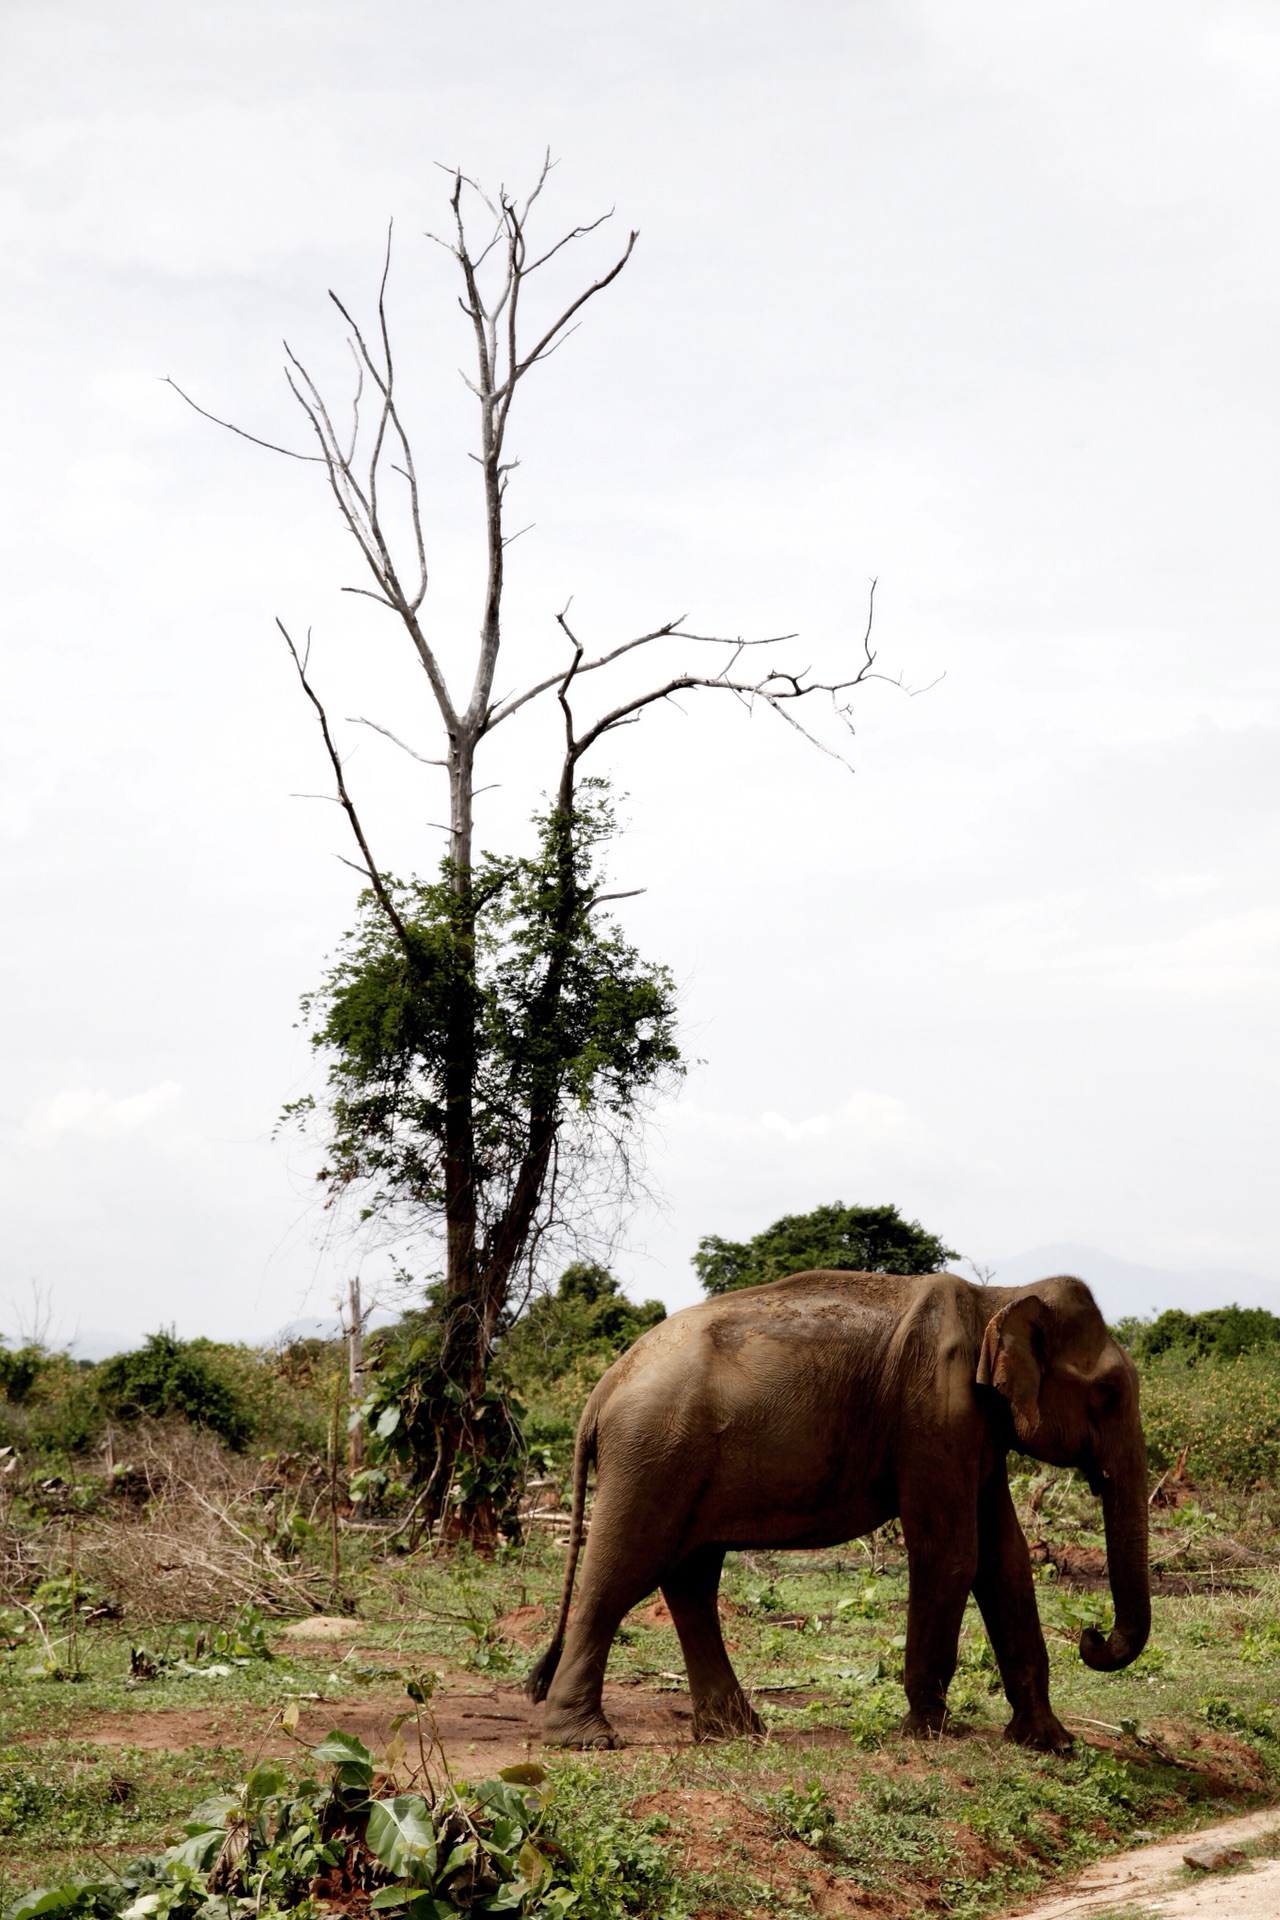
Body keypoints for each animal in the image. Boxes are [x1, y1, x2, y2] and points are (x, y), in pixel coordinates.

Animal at [521, 1274, 1151, 1758]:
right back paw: (586, 1740)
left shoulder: (977, 1428)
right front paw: (925, 1734)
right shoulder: (936, 1413)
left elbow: (1006, 1561)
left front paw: (1051, 1743)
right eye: (1109, 1392)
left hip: (675, 1460)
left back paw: (737, 1734)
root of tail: (600, 1391)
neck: (996, 1298)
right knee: (624, 1571)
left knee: (690, 1576)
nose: (1092, 1637)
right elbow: (951, 1552)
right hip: (651, 1454)